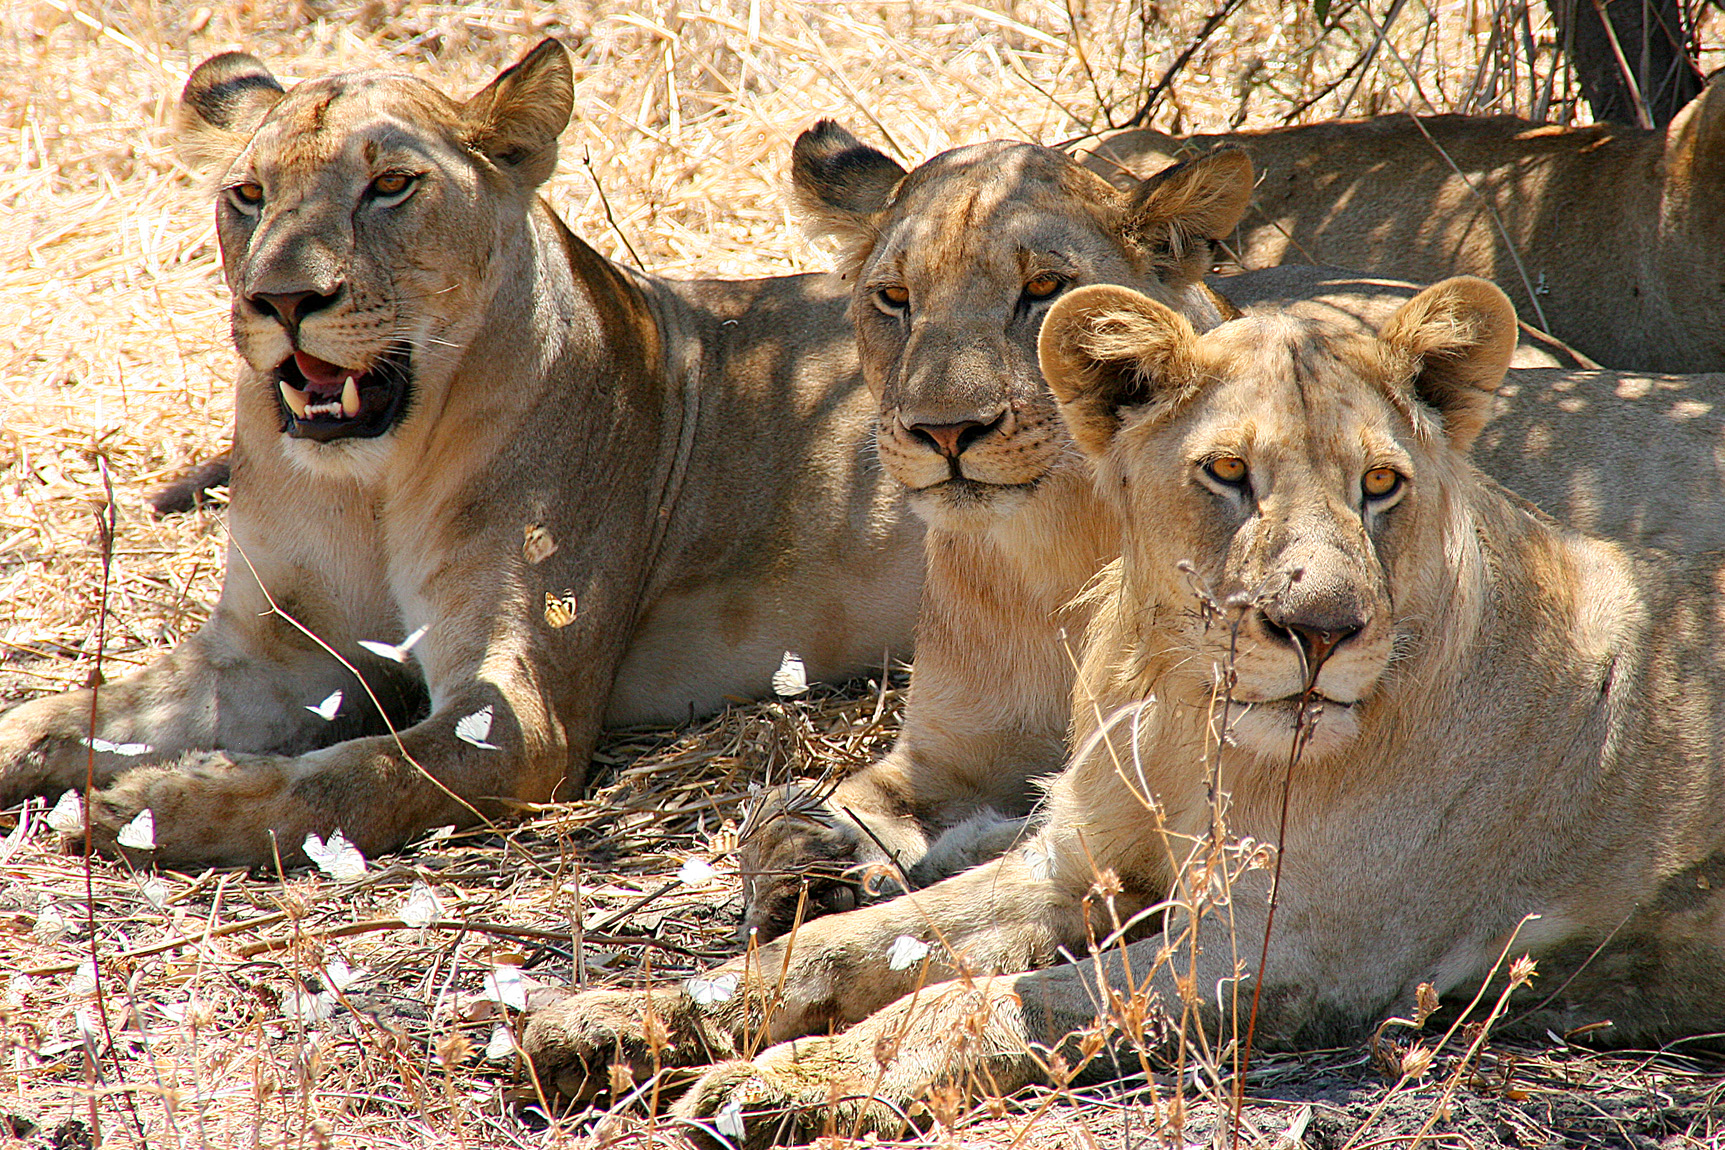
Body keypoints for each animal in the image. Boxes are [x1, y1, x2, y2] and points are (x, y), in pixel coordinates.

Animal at [0, 41, 926, 866]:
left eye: (391, 186)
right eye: (249, 196)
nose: (283, 301)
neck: (369, 480)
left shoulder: (518, 716)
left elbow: (352, 776)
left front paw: (148, 805)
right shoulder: (273, 652)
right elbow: (66, 713)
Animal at [521, 277, 1725, 1141]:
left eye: (1381, 485)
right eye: (1228, 473)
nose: (1322, 631)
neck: (1192, 718)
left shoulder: (1283, 951)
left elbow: (963, 1001)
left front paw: (790, 1081)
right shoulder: (1075, 867)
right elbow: (833, 948)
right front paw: (610, 1022)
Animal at [737, 119, 1725, 940]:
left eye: (1042, 288)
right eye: (892, 298)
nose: (944, 432)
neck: (1048, 561)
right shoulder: (940, 754)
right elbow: (801, 808)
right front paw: (804, 872)